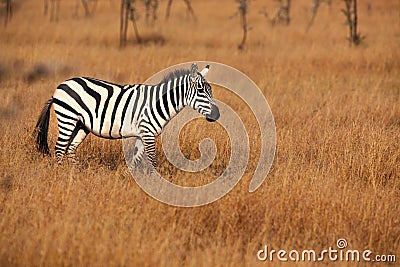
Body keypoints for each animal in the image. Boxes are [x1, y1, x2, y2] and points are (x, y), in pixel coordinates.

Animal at [34, 63, 220, 169]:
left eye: (210, 90)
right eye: (201, 91)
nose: (217, 114)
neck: (158, 103)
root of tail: (61, 85)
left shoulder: (142, 134)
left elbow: (135, 160)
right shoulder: (148, 133)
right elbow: (152, 160)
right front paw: (154, 183)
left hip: (81, 125)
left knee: (70, 148)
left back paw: (75, 174)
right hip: (68, 118)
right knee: (60, 148)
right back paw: (63, 175)